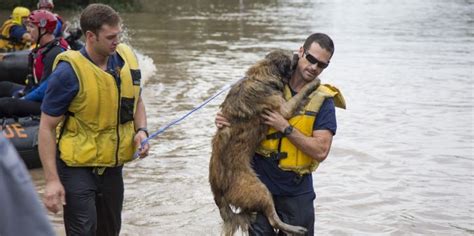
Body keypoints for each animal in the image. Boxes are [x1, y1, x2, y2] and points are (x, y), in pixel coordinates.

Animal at [209, 50, 320, 235]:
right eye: (289, 57)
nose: (297, 54)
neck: (261, 77)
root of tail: (218, 192)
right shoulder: (283, 108)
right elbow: (300, 94)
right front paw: (313, 83)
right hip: (260, 190)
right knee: (273, 219)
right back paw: (295, 228)